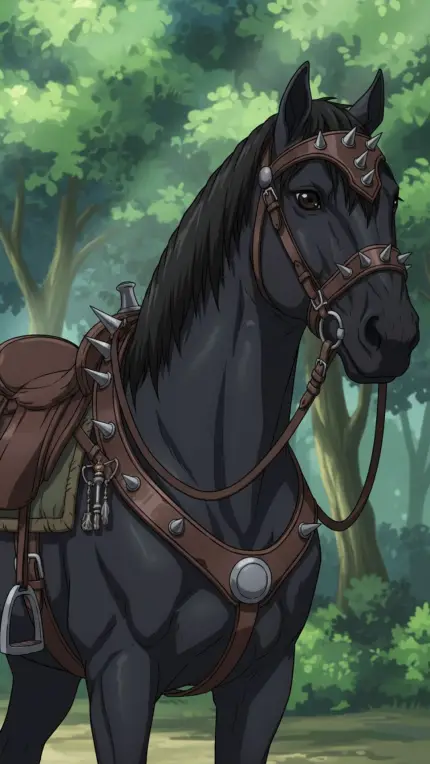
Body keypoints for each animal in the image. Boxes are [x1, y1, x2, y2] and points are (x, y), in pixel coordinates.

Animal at [0, 62, 419, 764]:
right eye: (307, 197)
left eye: (390, 198)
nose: (391, 335)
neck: (214, 475)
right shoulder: (122, 673)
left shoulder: (265, 679)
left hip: (43, 675)